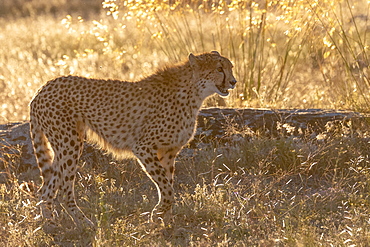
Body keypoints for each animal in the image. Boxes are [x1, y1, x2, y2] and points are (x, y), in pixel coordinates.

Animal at [29, 51, 237, 229]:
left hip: (64, 145)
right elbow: (167, 189)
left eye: (230, 67)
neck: (193, 92)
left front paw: (166, 220)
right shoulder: (143, 147)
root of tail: (42, 88)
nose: (234, 82)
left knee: (46, 188)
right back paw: (83, 222)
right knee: (64, 187)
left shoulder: (168, 151)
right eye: (219, 69)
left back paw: (50, 224)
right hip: (70, 144)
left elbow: (168, 184)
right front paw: (156, 215)